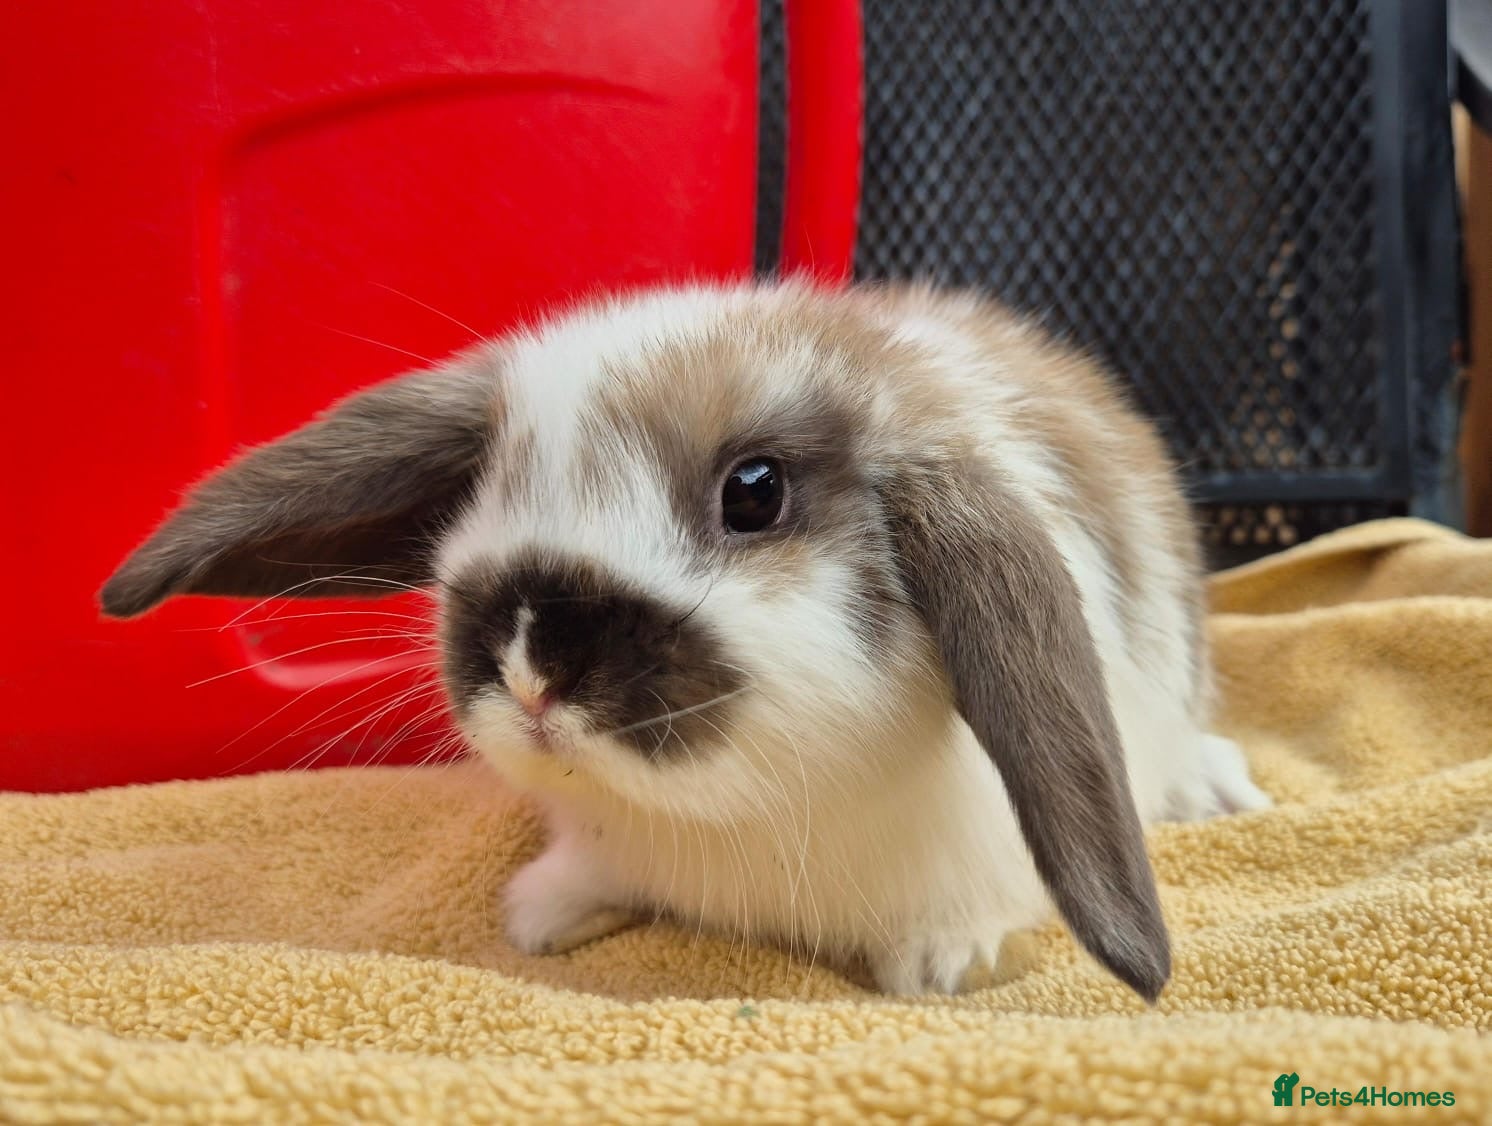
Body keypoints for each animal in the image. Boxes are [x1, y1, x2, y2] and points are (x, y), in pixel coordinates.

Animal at [100, 280, 1270, 1001]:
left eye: (755, 491)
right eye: (487, 482)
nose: (532, 665)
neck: (729, 821)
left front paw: (945, 963)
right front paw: (540, 916)